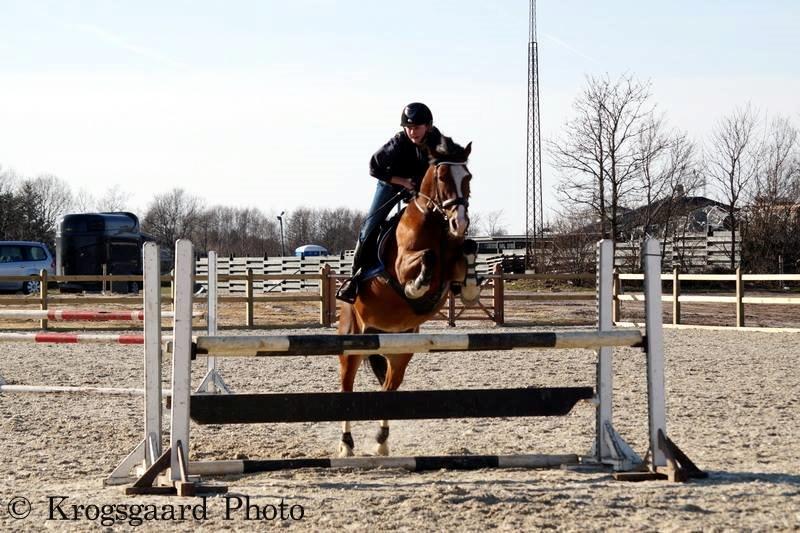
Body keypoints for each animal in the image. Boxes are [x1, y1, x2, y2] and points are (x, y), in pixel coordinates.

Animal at [338, 137, 482, 458]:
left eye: (468, 177)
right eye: (442, 178)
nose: (460, 222)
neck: (436, 224)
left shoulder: (453, 260)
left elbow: (468, 250)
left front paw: (469, 287)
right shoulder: (403, 264)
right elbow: (425, 259)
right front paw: (416, 288)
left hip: (399, 352)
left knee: (388, 389)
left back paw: (381, 442)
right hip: (352, 345)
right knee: (346, 389)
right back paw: (346, 446)